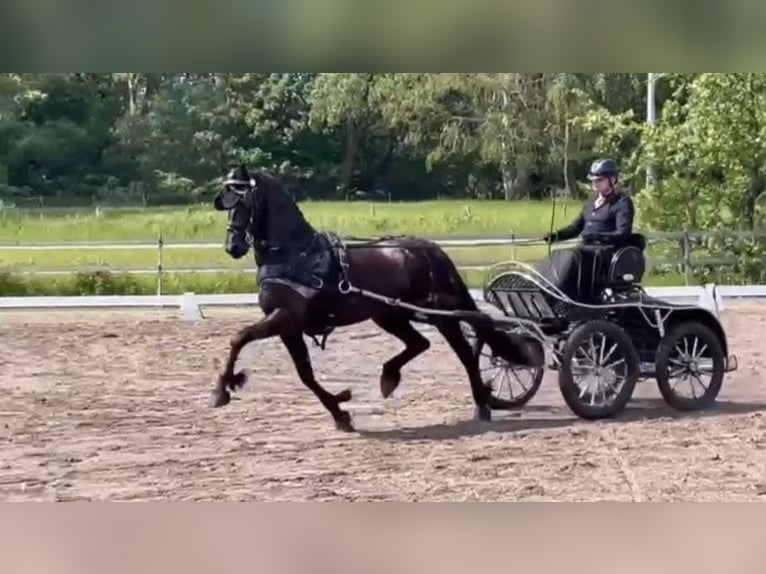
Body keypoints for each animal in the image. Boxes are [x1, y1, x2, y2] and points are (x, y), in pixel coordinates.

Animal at [209, 165, 544, 432]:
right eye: (226, 203)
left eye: (243, 201)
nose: (232, 246)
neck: (296, 255)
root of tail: (430, 249)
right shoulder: (289, 327)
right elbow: (305, 375)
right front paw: (340, 411)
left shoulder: (284, 317)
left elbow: (239, 338)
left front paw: (221, 390)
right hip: (390, 314)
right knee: (420, 343)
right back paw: (390, 377)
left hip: (438, 313)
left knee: (464, 351)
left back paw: (482, 403)